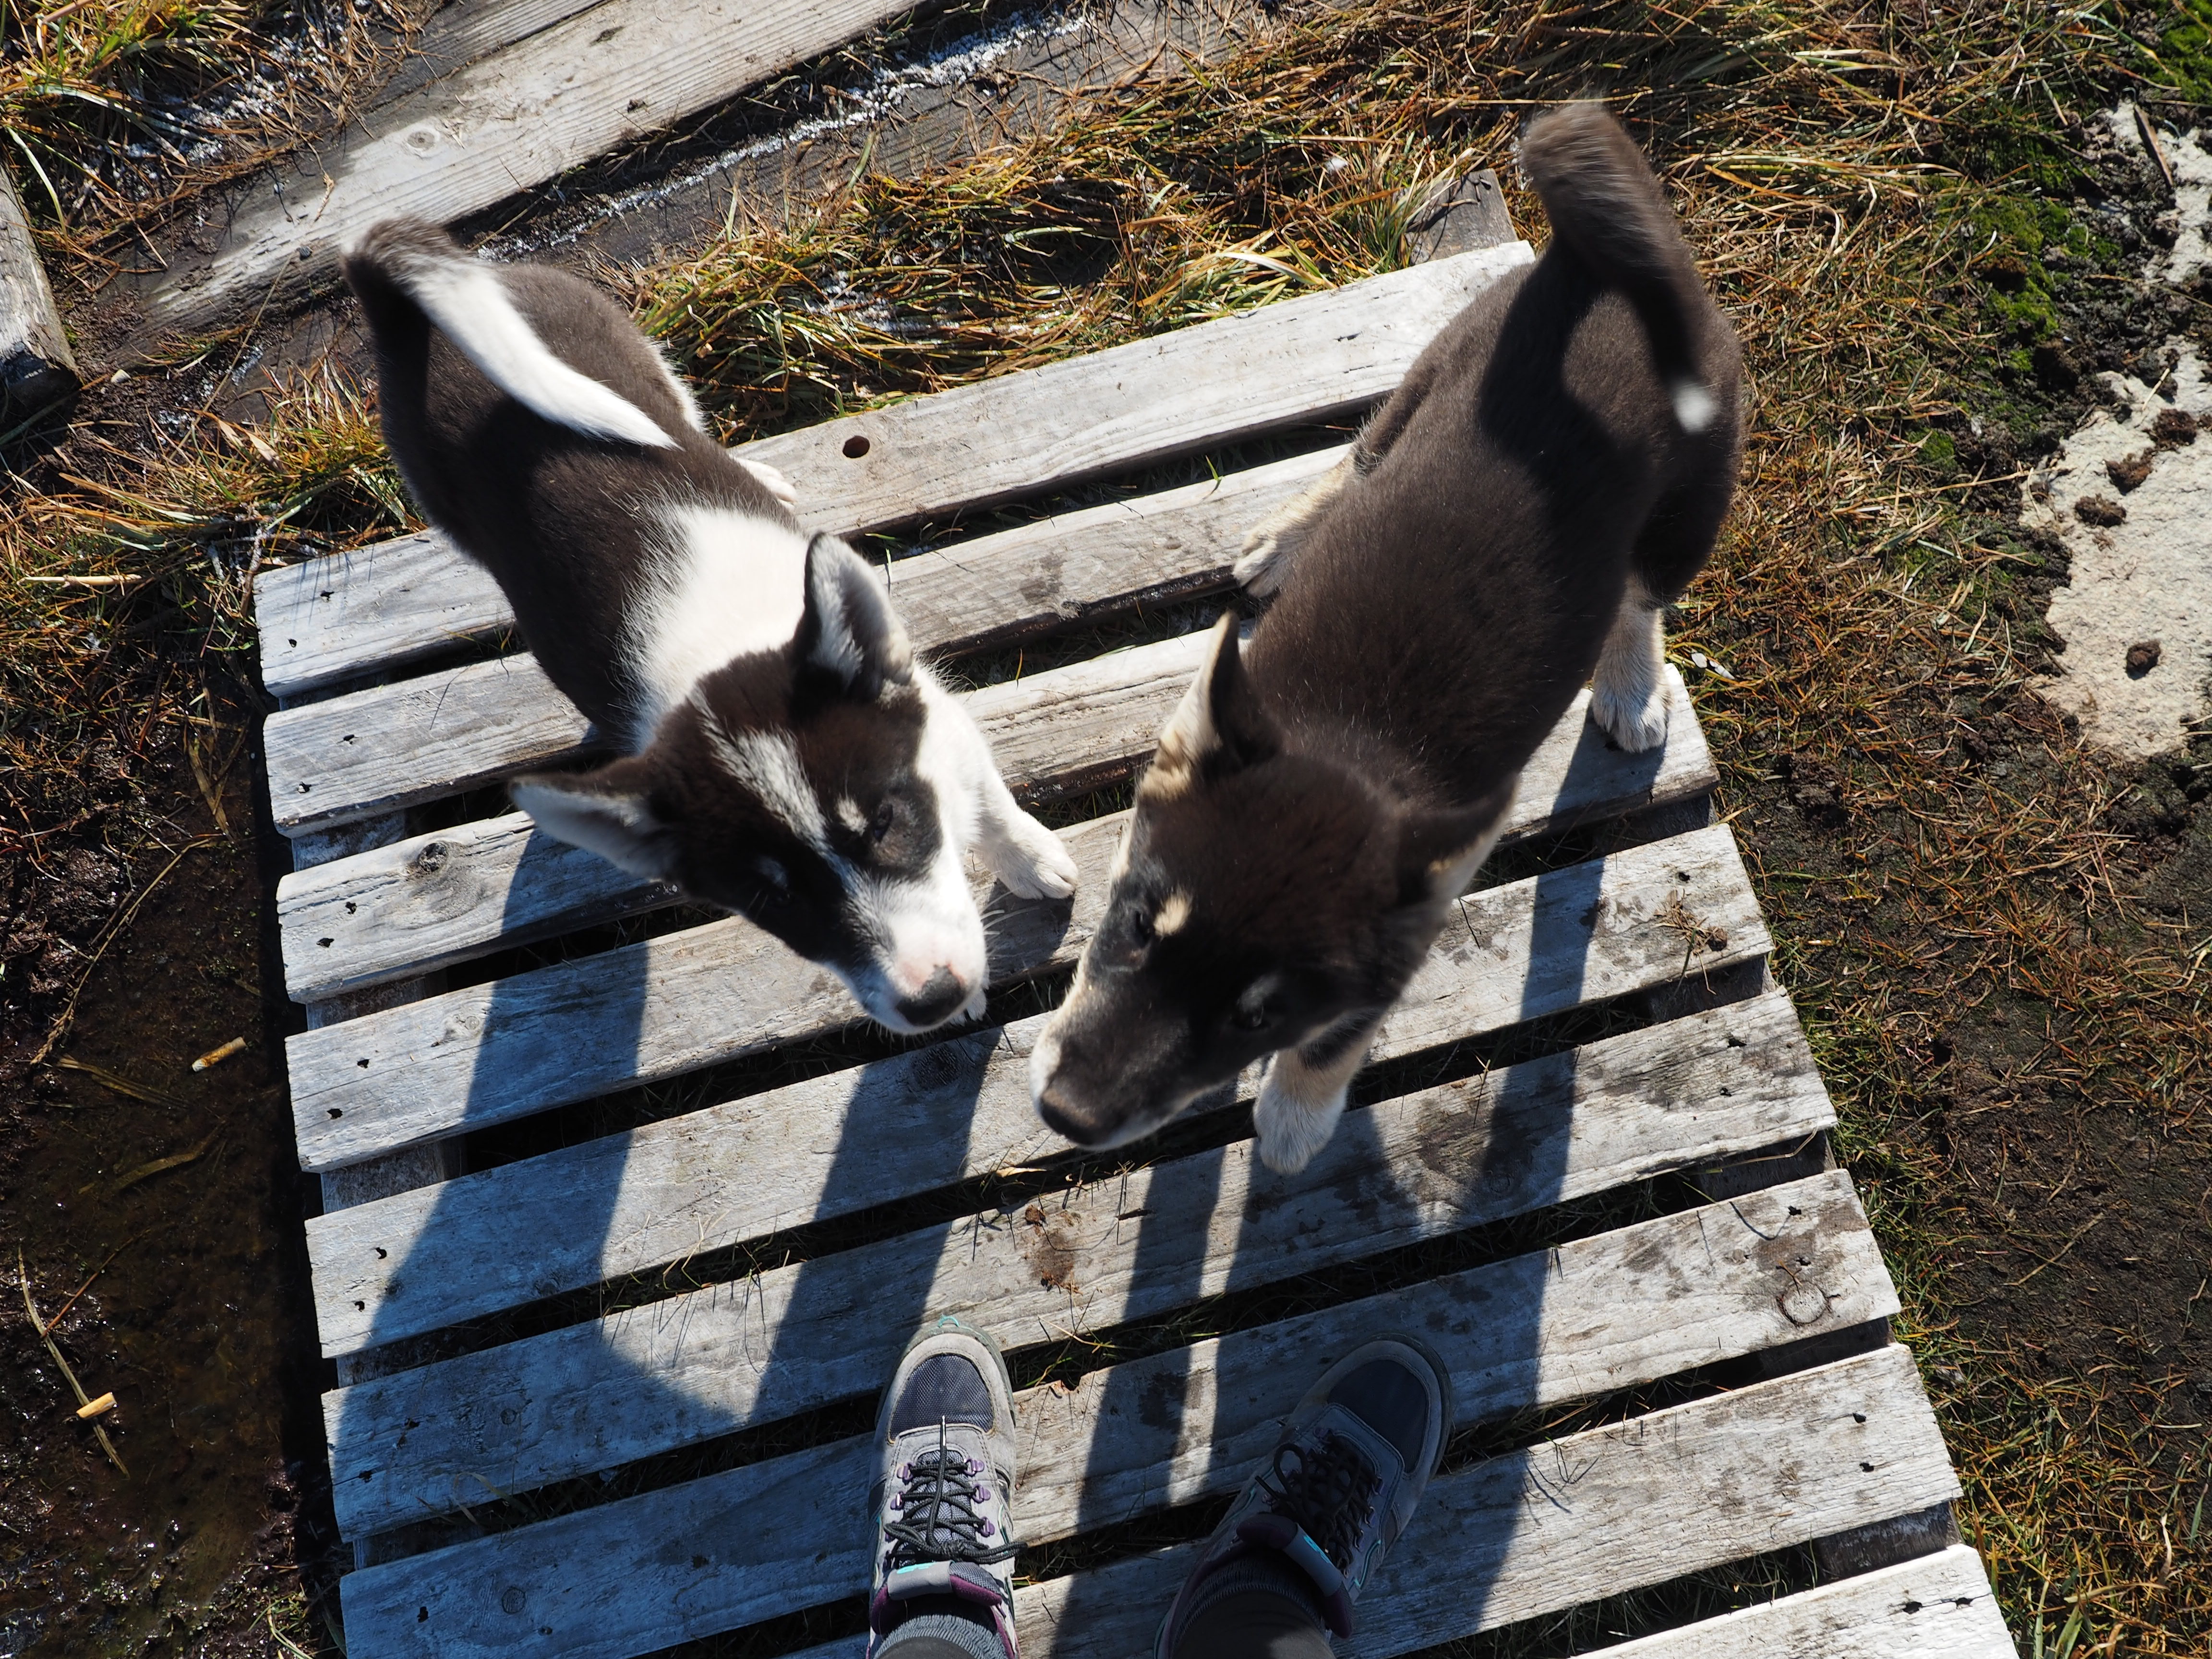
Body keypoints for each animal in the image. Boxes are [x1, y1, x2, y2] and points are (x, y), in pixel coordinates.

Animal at [342, 221, 1078, 1035]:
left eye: (885, 823)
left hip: (643, 361)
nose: (931, 1000)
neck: (724, 644)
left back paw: (763, 478)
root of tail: (399, 305)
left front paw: (1031, 861)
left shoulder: (935, 715)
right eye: (772, 899)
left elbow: (988, 803)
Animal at [1027, 103, 1743, 1171]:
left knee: (1636, 600)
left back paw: (1626, 685)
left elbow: (1337, 1038)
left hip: (1688, 510)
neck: (1341, 745)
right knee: (1361, 458)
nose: (1064, 1116)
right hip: (1429, 379)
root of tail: (1602, 271)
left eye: (1256, 1018)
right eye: (1140, 925)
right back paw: (1279, 545)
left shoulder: (1411, 924)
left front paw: (1292, 1121)